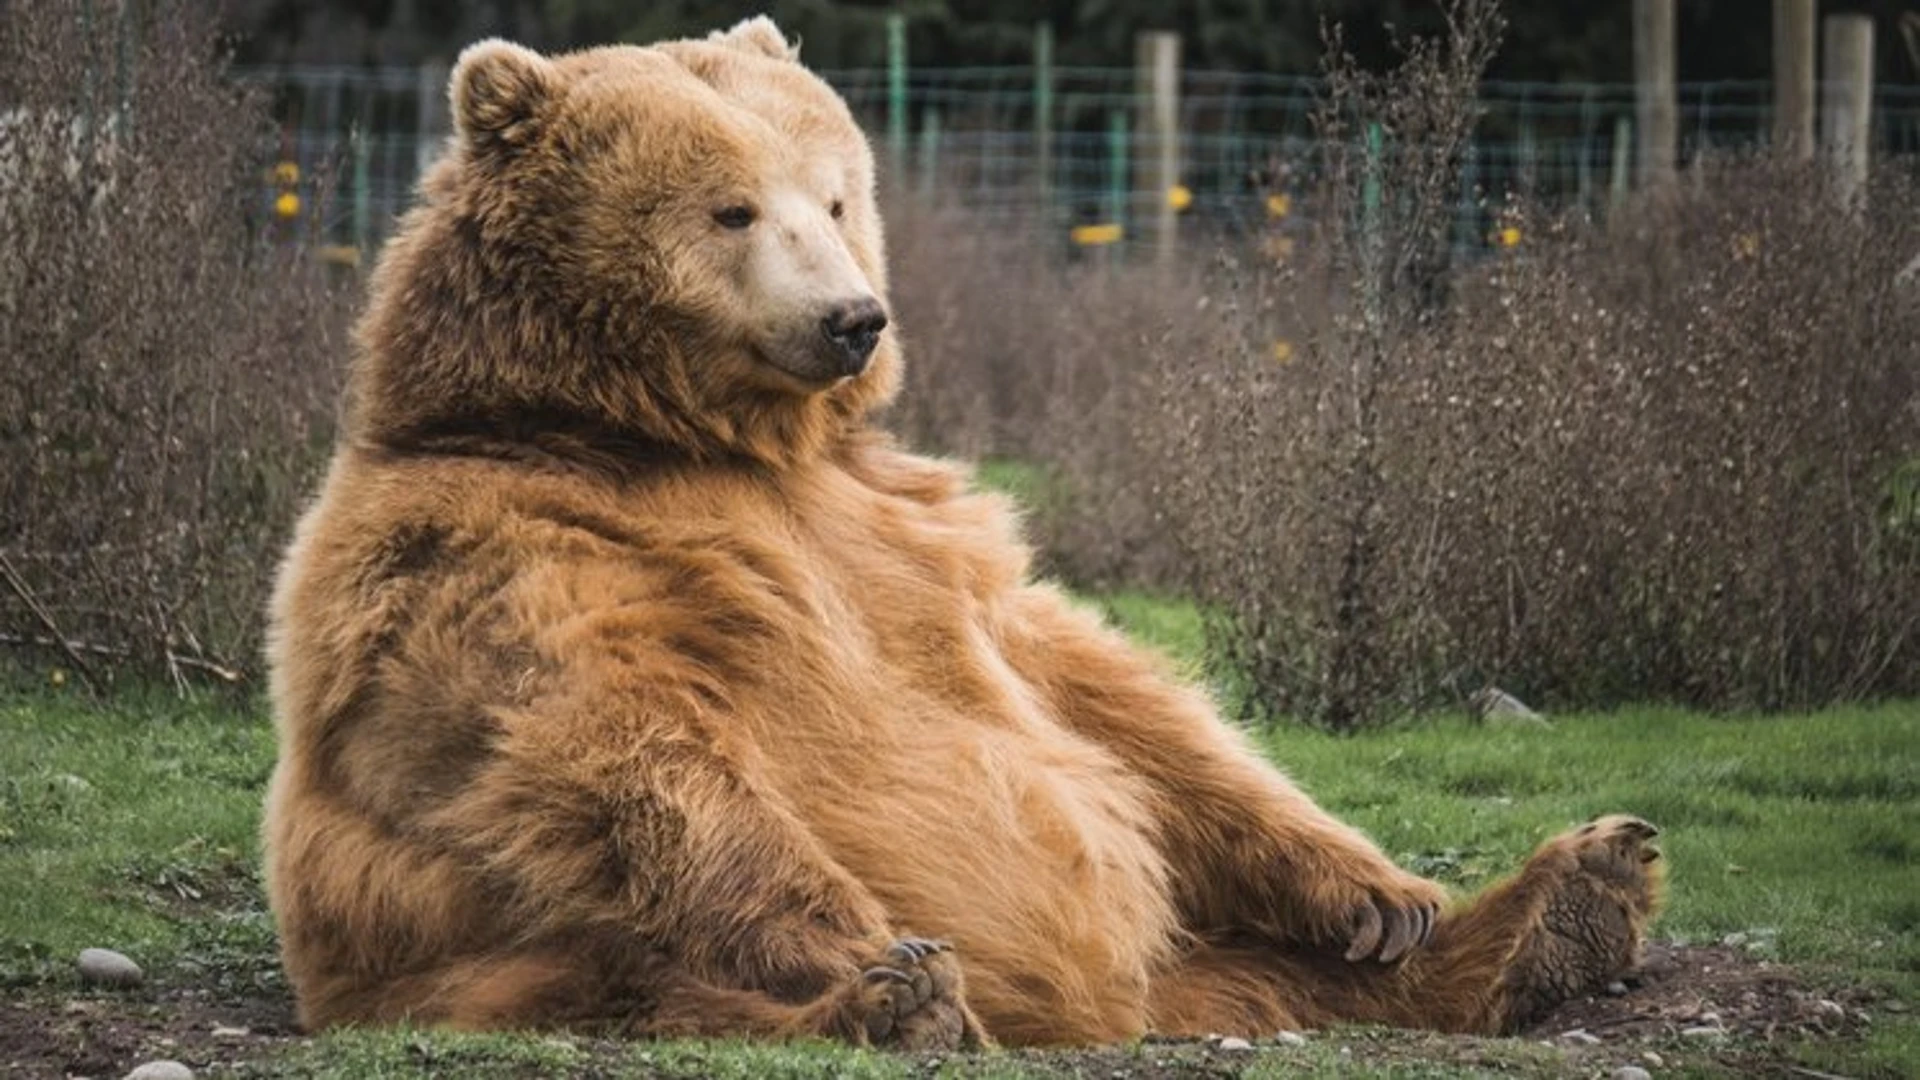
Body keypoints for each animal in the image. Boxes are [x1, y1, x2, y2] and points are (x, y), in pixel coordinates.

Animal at [263, 14, 1674, 1045]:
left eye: (834, 196)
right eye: (730, 209)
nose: (853, 318)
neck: (687, 437)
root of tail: (1113, 1007)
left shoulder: (913, 529)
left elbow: (1107, 695)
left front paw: (1380, 894)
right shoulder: (499, 545)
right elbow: (613, 741)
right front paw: (869, 949)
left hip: (1194, 951)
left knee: (1272, 965)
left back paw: (1566, 903)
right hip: (485, 956)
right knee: (644, 982)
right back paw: (896, 1004)